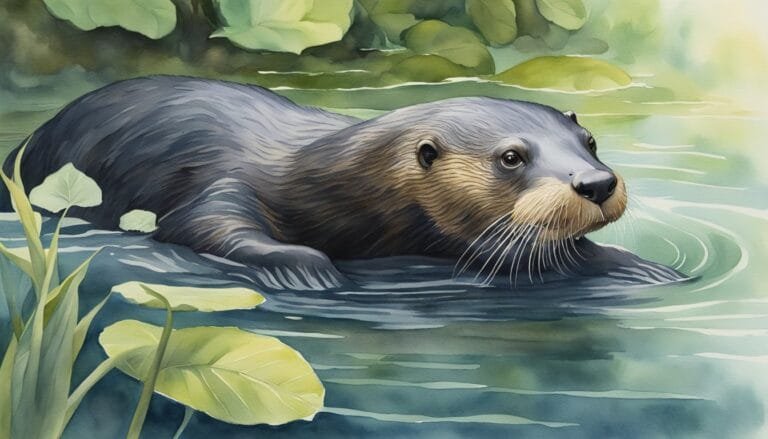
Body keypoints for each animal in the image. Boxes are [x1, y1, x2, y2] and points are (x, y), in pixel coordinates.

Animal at [1, 75, 665, 289]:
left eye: (589, 142)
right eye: (510, 157)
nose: (596, 183)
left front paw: (640, 268)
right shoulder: (225, 182)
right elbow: (199, 223)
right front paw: (309, 268)